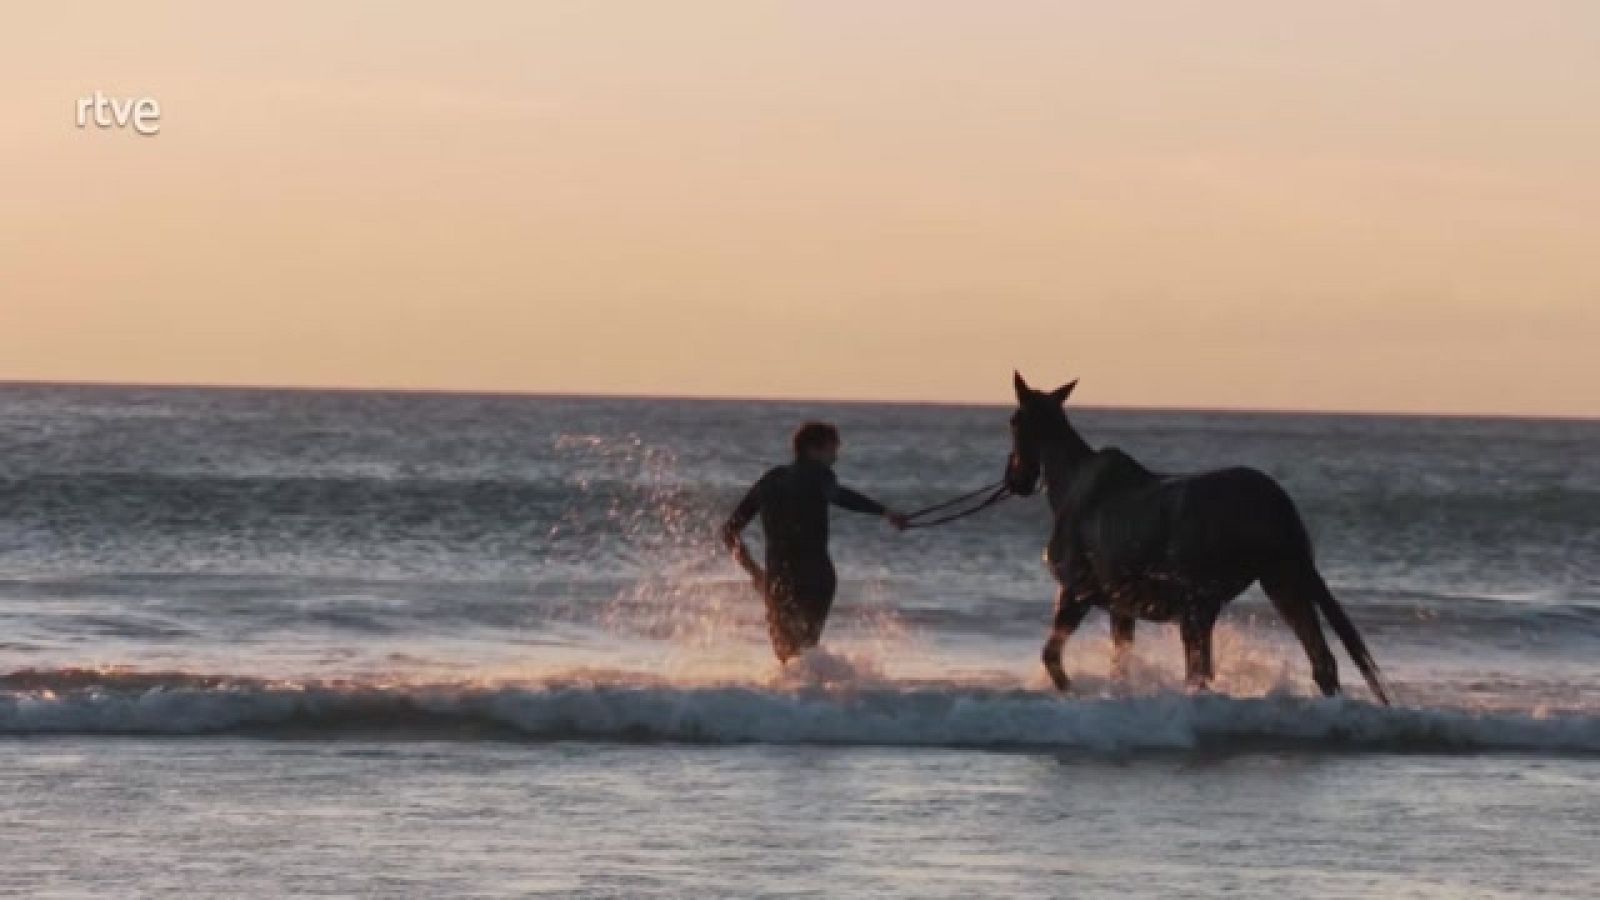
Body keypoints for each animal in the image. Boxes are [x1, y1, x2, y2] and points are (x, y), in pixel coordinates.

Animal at [1005, 372, 1391, 704]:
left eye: (1013, 420)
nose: (1017, 479)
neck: (1067, 486)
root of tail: (1278, 506)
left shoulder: (1075, 591)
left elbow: (1052, 656)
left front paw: (1071, 689)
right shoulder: (1121, 607)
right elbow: (1120, 667)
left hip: (1203, 602)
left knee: (1203, 673)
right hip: (1281, 582)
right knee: (1321, 663)